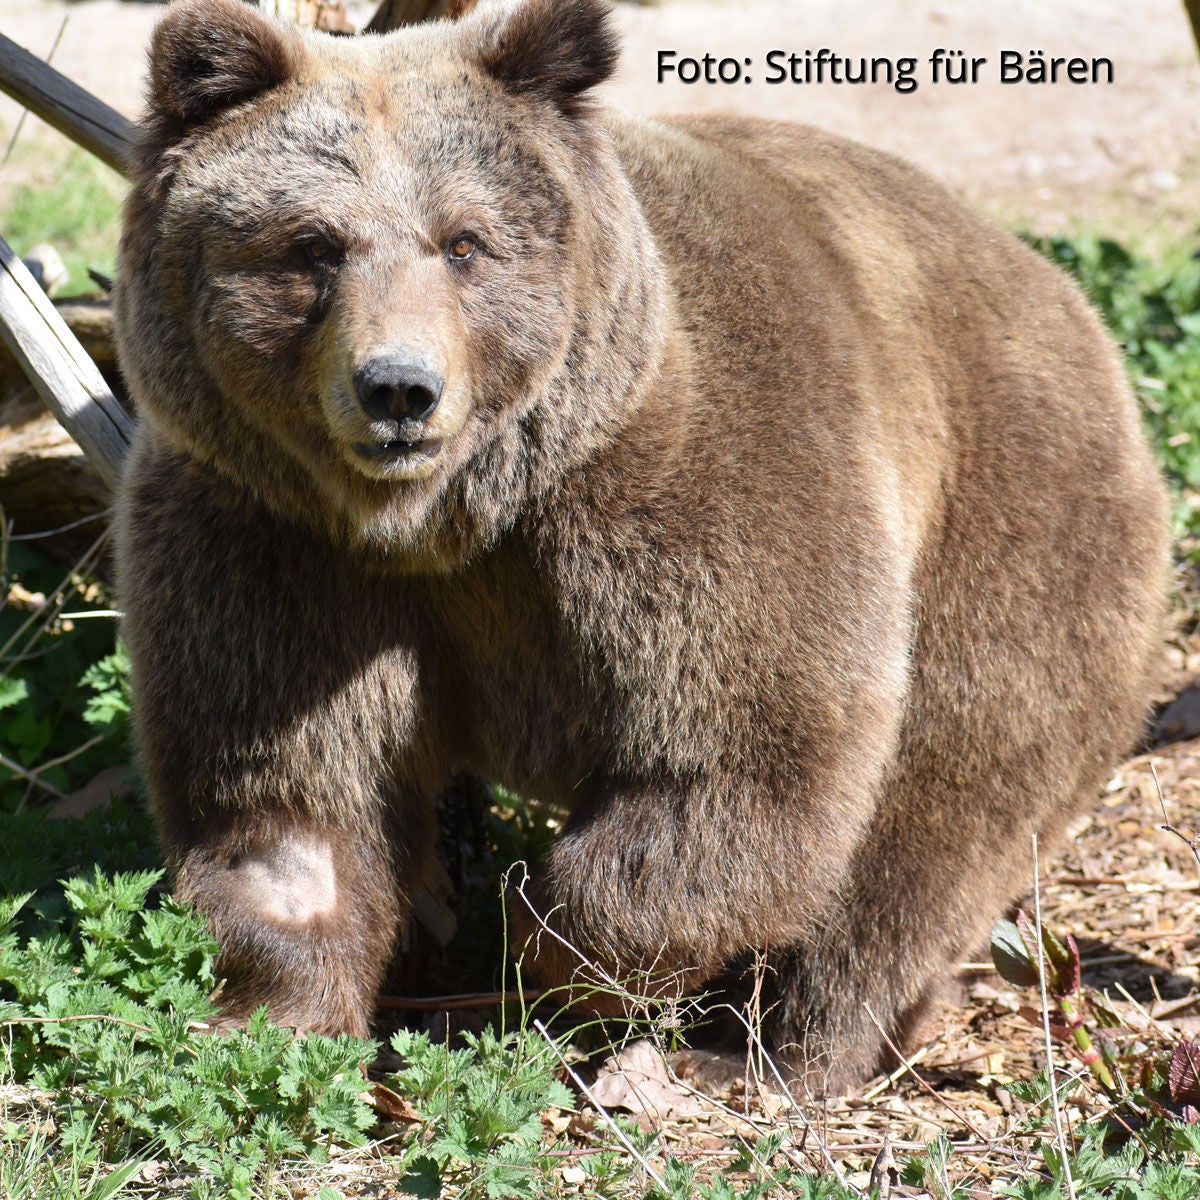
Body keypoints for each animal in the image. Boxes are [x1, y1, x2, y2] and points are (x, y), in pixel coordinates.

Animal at [113, 0, 1169, 1092]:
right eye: (314, 244)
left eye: (464, 241)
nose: (398, 388)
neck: (449, 524)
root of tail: (1068, 301)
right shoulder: (274, 542)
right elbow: (287, 796)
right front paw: (270, 1019)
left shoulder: (687, 491)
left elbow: (736, 750)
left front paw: (549, 956)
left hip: (1013, 529)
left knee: (932, 822)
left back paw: (783, 1050)